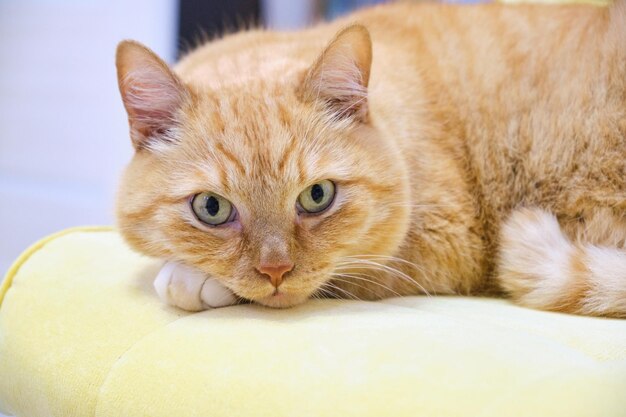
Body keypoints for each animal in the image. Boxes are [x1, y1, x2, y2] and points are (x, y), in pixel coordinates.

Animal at [113, 0, 624, 316]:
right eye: (211, 208)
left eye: (317, 196)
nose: (276, 271)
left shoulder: (443, 245)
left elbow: (345, 271)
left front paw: (190, 279)